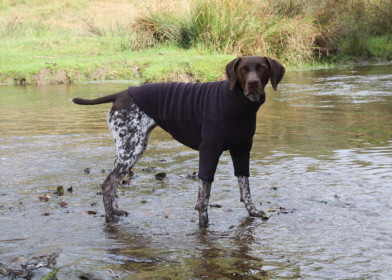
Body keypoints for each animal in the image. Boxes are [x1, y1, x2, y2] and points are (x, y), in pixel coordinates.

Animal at [72, 55, 284, 226]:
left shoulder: (242, 150)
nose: (253, 83)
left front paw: (253, 211)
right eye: (243, 70)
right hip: (131, 150)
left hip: (128, 151)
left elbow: (245, 189)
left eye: (261, 68)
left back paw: (115, 211)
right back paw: (110, 218)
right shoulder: (209, 150)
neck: (238, 103)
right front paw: (204, 224)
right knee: (108, 184)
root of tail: (121, 93)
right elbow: (204, 197)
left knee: (114, 183)